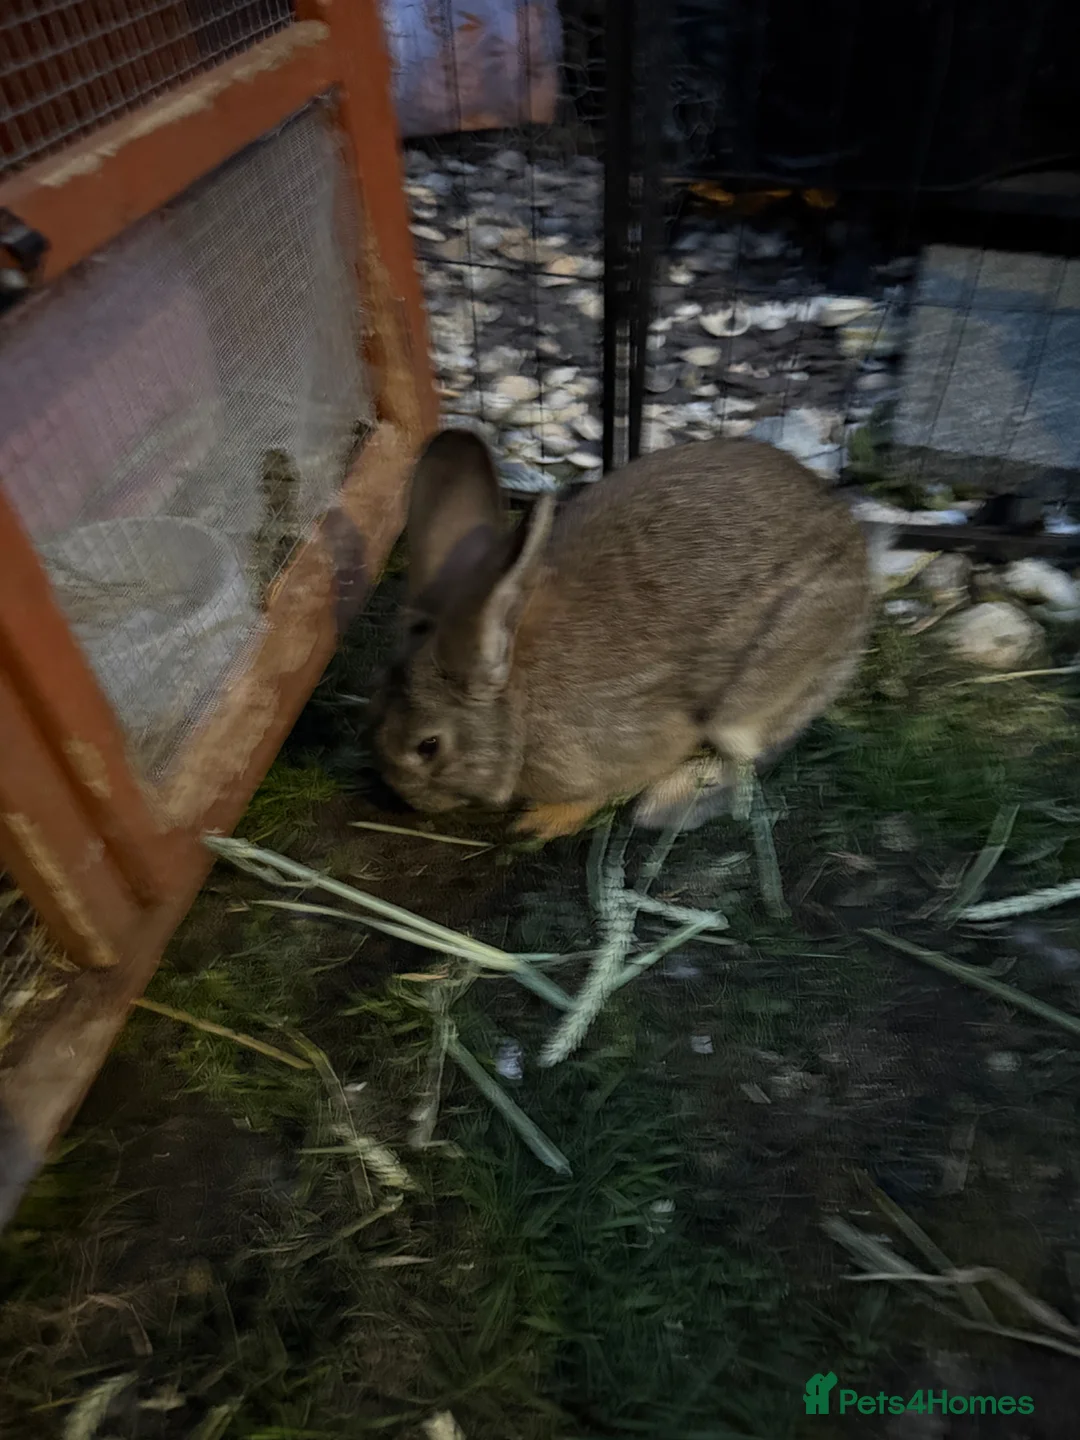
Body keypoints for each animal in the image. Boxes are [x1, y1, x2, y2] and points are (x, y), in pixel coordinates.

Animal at [369, 427, 873, 842]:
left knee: (756, 755)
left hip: (754, 694)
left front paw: (541, 822)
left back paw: (665, 806)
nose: (408, 800)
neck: (518, 701)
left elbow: (604, 791)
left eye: (428, 746)